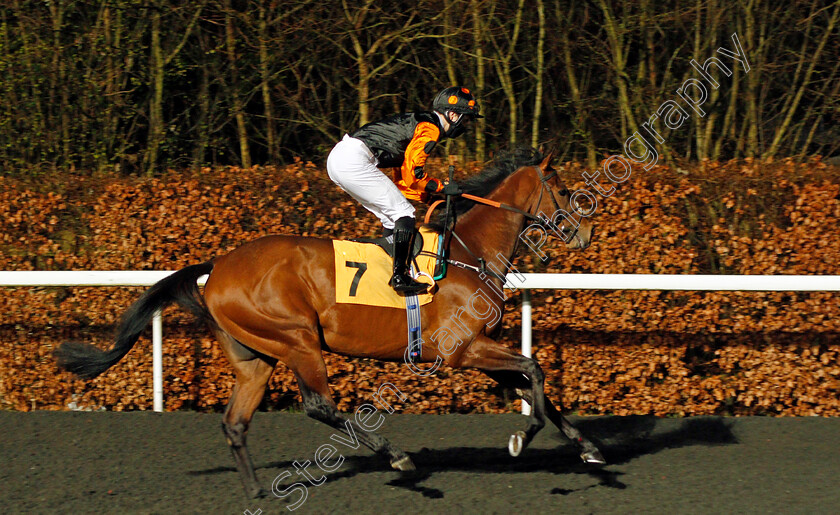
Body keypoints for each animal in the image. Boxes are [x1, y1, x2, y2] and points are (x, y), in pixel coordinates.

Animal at [55, 147, 604, 498]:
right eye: (560, 187)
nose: (585, 232)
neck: (468, 251)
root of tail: (218, 267)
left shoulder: (479, 349)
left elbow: (537, 385)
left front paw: (589, 449)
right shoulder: (461, 351)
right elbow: (534, 372)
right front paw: (522, 438)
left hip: (254, 356)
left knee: (236, 422)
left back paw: (257, 490)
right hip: (297, 338)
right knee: (318, 405)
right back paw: (394, 455)